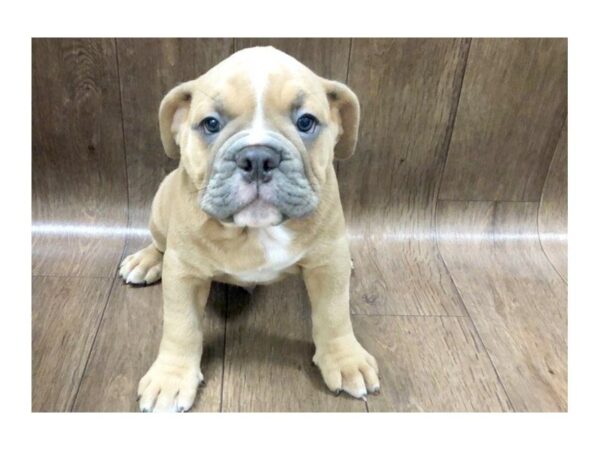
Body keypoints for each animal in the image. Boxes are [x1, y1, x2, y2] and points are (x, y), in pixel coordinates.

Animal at [118, 45, 380, 412]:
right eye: (210, 124)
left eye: (306, 122)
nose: (258, 157)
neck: (255, 231)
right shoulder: (184, 273)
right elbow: (181, 326)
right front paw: (170, 378)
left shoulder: (328, 264)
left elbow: (334, 314)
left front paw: (346, 360)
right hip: (160, 208)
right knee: (160, 243)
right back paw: (146, 260)